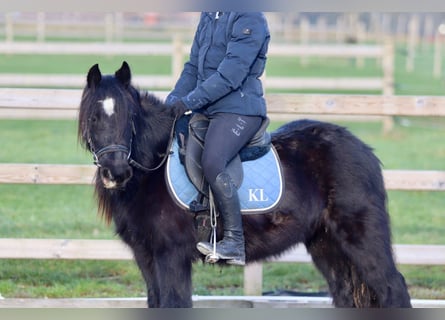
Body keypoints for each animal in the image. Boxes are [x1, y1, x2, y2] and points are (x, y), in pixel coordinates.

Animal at [78, 62, 412, 308]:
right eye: (93, 117)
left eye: (130, 116)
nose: (116, 172)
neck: (153, 167)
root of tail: (363, 150)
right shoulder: (146, 257)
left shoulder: (170, 256)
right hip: (326, 245)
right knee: (345, 294)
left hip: (362, 240)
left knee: (393, 287)